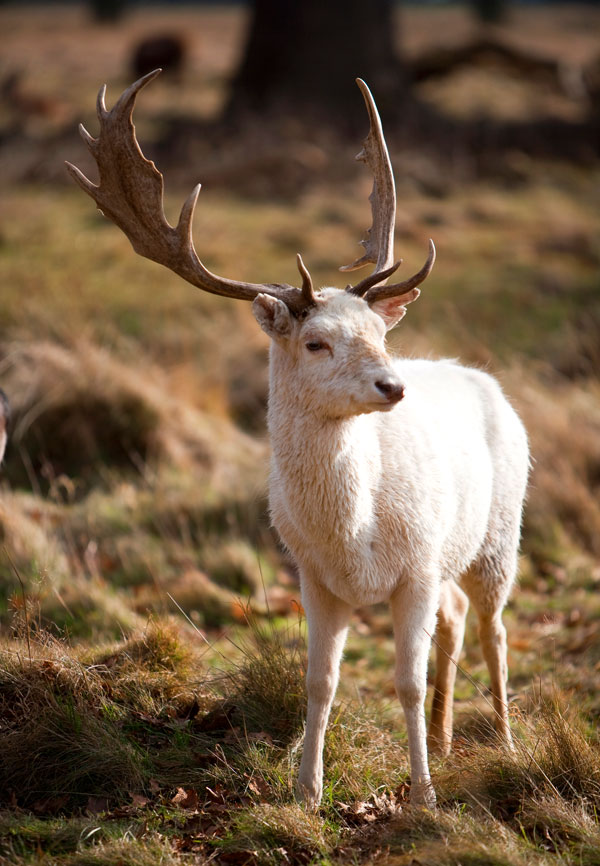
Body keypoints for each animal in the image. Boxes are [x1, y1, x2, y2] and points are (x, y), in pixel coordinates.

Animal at [68, 71, 528, 808]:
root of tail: (482, 378)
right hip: (458, 555)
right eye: (316, 342)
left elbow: (404, 681)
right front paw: (307, 790)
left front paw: (422, 796)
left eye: (379, 331)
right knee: (458, 621)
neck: (353, 534)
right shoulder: (312, 576)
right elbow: (321, 681)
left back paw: (504, 744)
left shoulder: (416, 567)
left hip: (500, 534)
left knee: (494, 629)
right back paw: (447, 738)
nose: (394, 386)